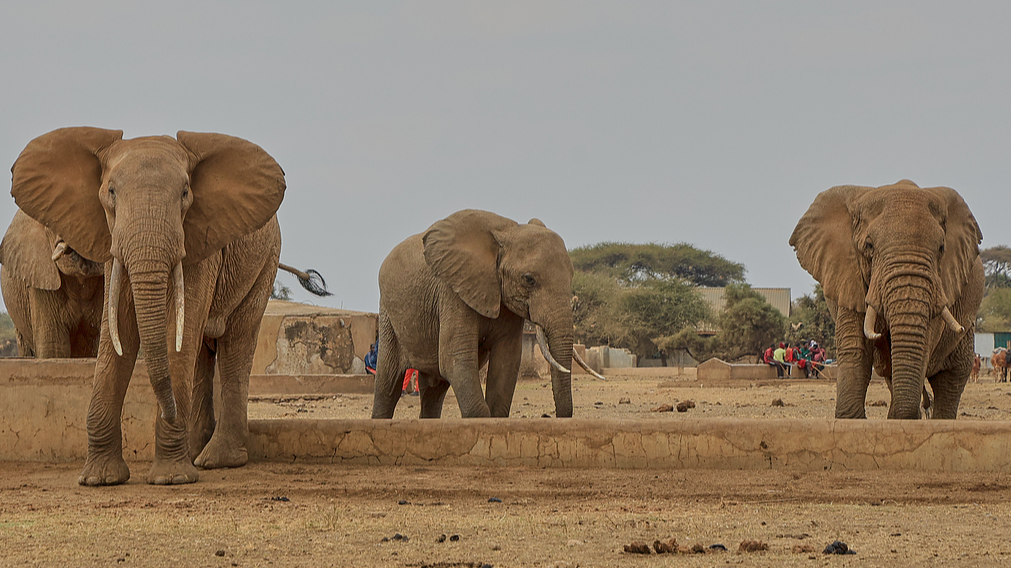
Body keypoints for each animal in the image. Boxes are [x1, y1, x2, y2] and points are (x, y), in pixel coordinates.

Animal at [371, 209, 601, 420]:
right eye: (528, 279)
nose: (553, 416)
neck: (507, 231)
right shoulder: (453, 290)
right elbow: (456, 360)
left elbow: (506, 362)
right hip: (388, 317)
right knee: (388, 385)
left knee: (433, 391)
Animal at [790, 180, 984, 419]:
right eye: (869, 246)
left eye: (941, 248)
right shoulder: (849, 277)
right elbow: (856, 350)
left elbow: (922, 347)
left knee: (952, 377)